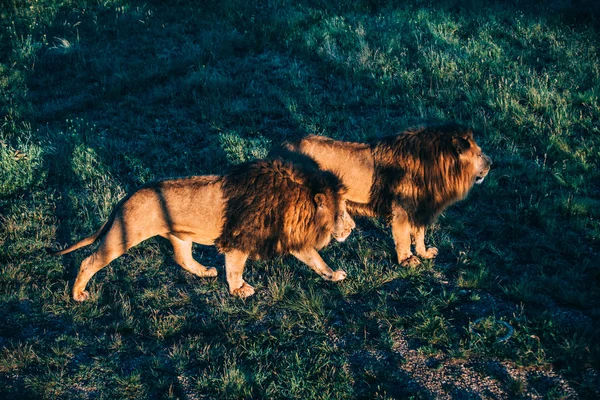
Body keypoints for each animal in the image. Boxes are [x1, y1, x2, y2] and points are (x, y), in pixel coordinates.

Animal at [50, 159, 356, 300]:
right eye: (342, 212)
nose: (352, 229)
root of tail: (127, 197)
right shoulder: (238, 238)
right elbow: (235, 267)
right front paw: (239, 290)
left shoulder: (291, 238)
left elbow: (316, 260)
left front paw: (333, 275)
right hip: (124, 235)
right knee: (89, 261)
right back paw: (78, 294)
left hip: (179, 237)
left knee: (182, 258)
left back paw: (205, 272)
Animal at [282, 124, 492, 268]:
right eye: (479, 154)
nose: (491, 163)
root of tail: (283, 144)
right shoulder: (401, 210)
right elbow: (404, 237)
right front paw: (407, 260)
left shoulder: (420, 208)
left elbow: (420, 235)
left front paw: (424, 253)